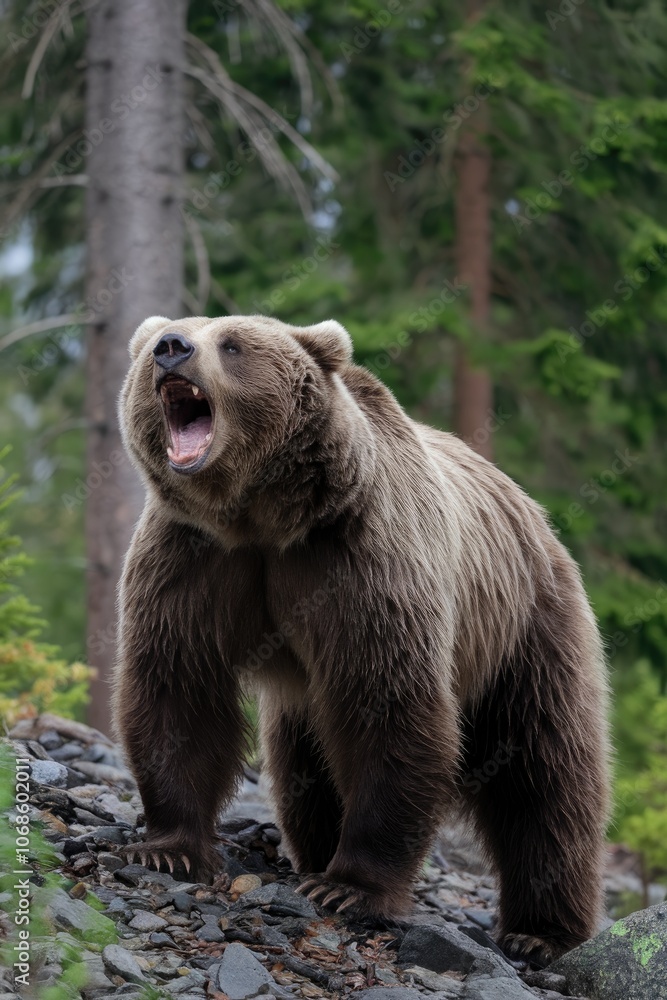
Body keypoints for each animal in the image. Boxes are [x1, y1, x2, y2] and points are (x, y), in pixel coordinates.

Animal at [114, 313, 610, 967]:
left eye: (232, 343)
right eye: (159, 339)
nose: (171, 350)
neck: (260, 517)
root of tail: (539, 518)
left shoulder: (360, 558)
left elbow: (387, 708)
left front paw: (351, 887)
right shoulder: (193, 557)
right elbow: (178, 686)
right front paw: (168, 847)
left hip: (526, 628)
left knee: (545, 776)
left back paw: (541, 933)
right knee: (305, 763)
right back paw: (312, 850)